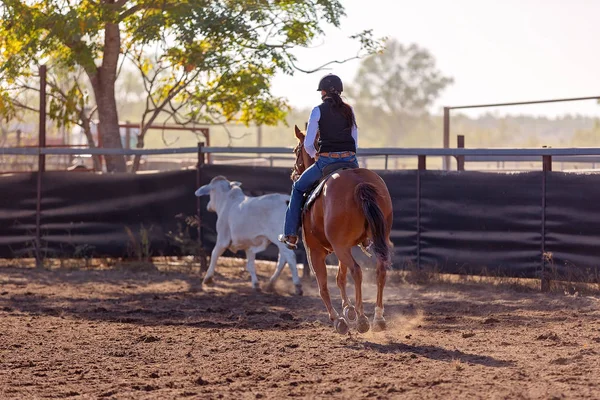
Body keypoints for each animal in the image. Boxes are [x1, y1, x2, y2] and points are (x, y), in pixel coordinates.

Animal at [292, 125, 394, 334]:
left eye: (296, 151)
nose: (293, 174)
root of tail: (359, 183)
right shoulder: (342, 247)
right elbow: (340, 277)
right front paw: (348, 309)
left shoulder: (315, 250)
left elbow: (323, 284)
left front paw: (338, 318)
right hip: (372, 239)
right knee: (380, 269)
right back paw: (378, 318)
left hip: (338, 247)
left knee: (357, 271)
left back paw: (363, 319)